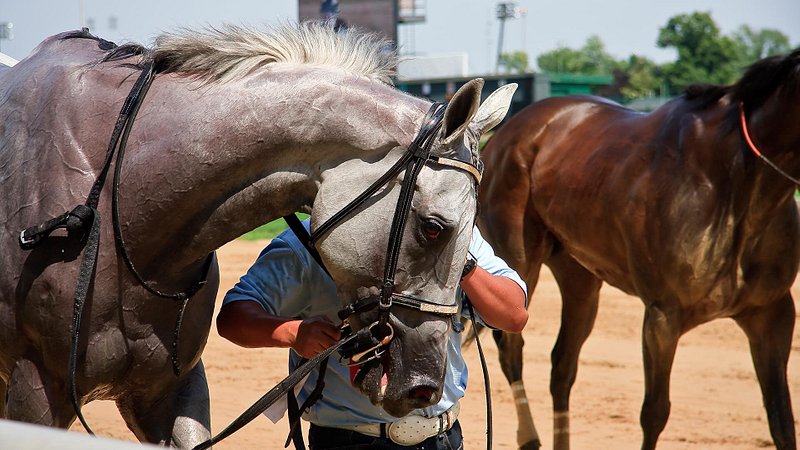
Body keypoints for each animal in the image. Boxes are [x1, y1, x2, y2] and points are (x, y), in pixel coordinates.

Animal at [478, 49, 796, 450]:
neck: (735, 181)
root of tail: (510, 128)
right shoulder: (663, 315)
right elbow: (655, 412)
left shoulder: (772, 315)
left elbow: (782, 421)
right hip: (520, 258)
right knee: (511, 349)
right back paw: (529, 436)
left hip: (579, 276)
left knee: (562, 364)